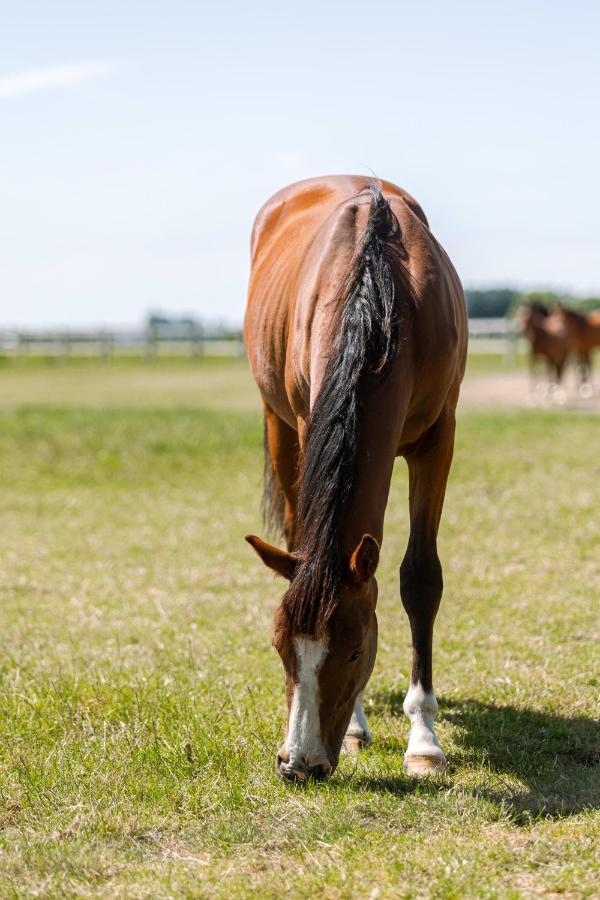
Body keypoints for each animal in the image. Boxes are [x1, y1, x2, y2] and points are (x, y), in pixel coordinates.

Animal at [244, 176, 468, 780]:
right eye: (280, 648)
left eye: (352, 649)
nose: (298, 763)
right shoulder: (307, 422)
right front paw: (355, 728)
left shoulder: (437, 441)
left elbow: (420, 579)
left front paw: (424, 739)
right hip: (277, 426)